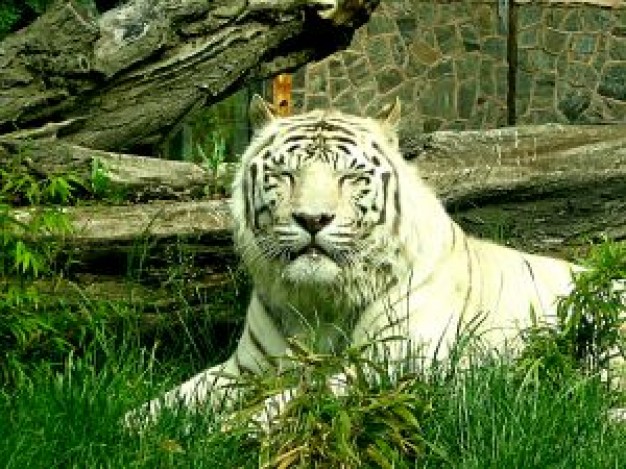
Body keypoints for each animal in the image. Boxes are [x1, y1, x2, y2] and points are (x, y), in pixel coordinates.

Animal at [125, 95, 620, 428]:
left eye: (350, 176)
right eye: (285, 174)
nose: (312, 219)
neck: (319, 304)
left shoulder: (393, 363)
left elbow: (297, 397)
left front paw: (230, 430)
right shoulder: (245, 368)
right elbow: (176, 399)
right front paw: (132, 426)